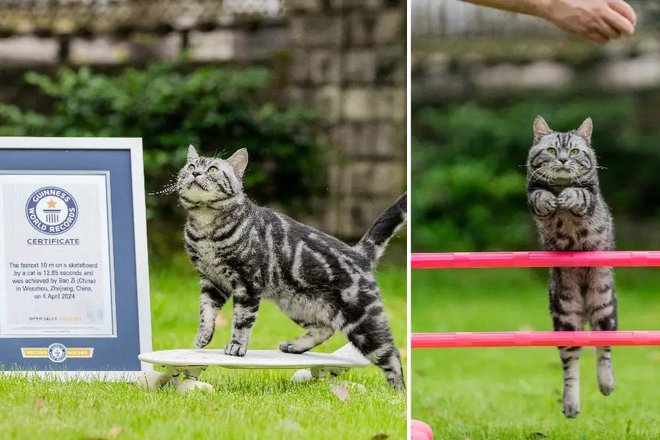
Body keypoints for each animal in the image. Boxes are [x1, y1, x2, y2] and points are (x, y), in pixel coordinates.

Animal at [173, 146, 404, 390]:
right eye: (191, 166)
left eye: (212, 169)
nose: (195, 173)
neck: (205, 229)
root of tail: (359, 252)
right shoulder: (212, 282)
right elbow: (206, 313)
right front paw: (203, 337)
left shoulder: (248, 285)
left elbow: (241, 321)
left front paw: (236, 347)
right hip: (298, 307)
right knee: (327, 328)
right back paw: (295, 346)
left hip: (363, 323)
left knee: (392, 355)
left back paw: (396, 392)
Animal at [528, 117, 616, 420]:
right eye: (552, 150)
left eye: (575, 152)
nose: (564, 160)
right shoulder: (531, 194)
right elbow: (539, 196)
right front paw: (550, 199)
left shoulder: (590, 196)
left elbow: (578, 193)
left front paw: (566, 196)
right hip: (565, 315)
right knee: (571, 363)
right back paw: (570, 403)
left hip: (604, 307)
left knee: (603, 348)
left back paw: (606, 383)